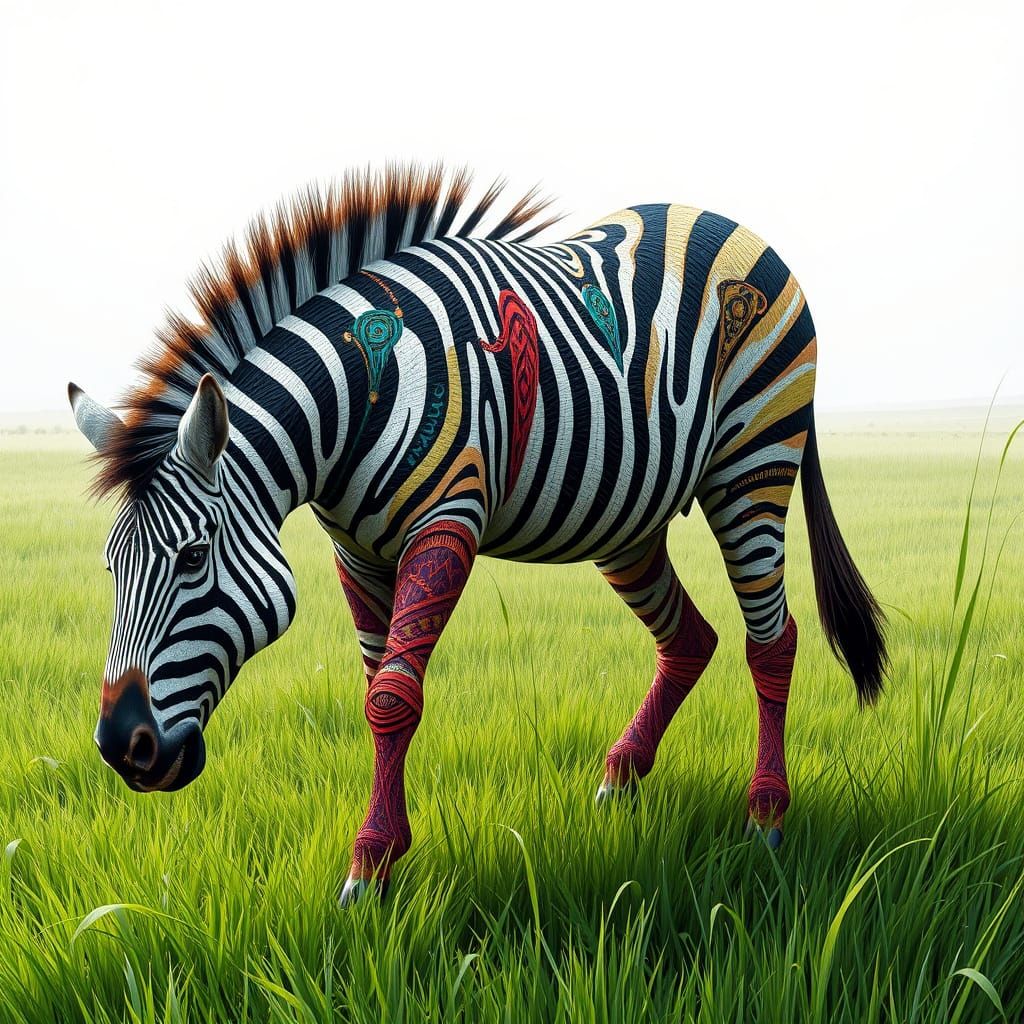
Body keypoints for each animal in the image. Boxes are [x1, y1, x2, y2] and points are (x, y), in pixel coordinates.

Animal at [68, 164, 887, 903]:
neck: (360, 394)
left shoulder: (446, 524)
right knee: (691, 638)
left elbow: (392, 697)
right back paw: (619, 781)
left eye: (192, 558)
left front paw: (367, 869)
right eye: (110, 570)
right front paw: (386, 856)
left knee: (771, 639)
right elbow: (377, 687)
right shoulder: (356, 554)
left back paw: (766, 818)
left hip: (754, 461)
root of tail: (722, 218)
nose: (121, 748)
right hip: (629, 516)